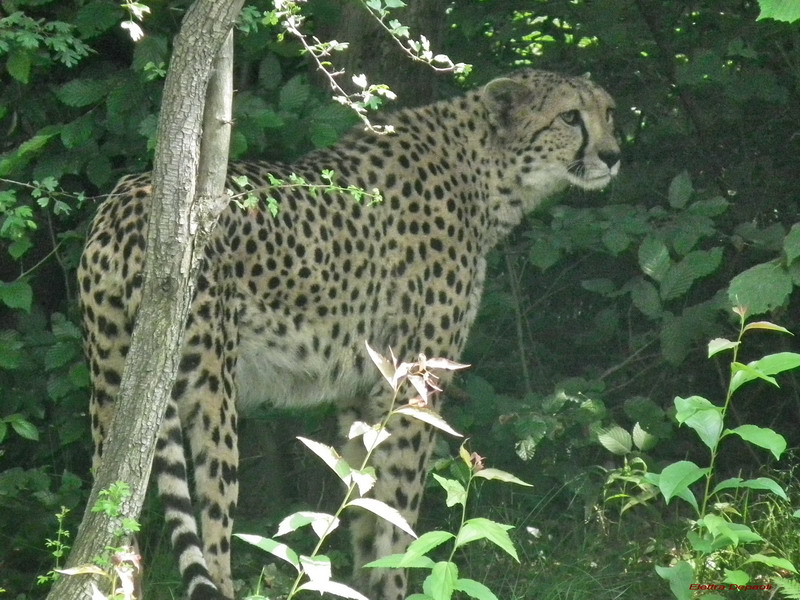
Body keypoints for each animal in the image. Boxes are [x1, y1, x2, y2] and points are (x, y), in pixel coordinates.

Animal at [78, 68, 620, 600]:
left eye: (609, 111)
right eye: (569, 117)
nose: (613, 156)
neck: (485, 169)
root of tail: (129, 200)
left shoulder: (362, 391)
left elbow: (364, 508)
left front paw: (362, 584)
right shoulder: (411, 385)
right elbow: (398, 518)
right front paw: (395, 585)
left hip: (113, 395)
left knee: (110, 531)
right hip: (209, 391)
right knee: (210, 539)